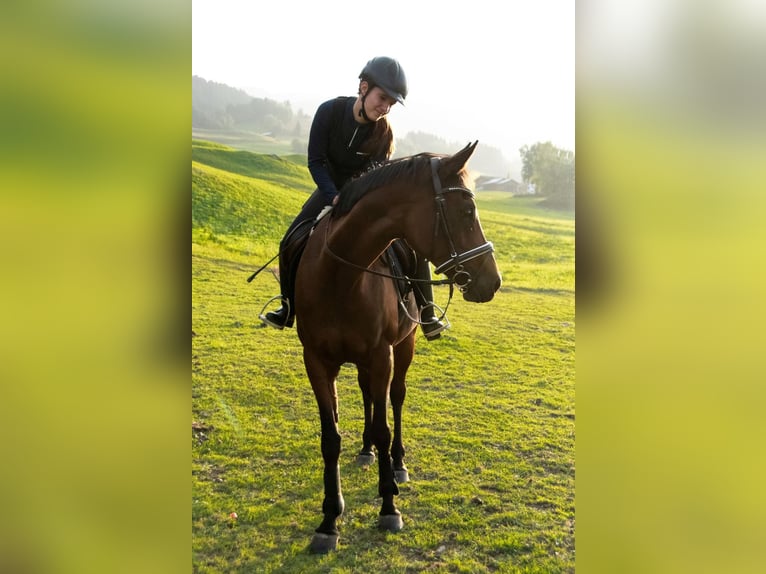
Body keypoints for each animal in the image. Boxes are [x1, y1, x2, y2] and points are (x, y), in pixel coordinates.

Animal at [294, 141, 501, 553]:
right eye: (466, 212)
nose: (494, 280)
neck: (340, 277)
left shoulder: (382, 356)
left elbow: (385, 426)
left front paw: (389, 505)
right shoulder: (318, 362)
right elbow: (331, 438)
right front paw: (329, 520)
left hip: (402, 349)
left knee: (395, 399)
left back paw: (397, 465)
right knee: (369, 400)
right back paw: (366, 452)